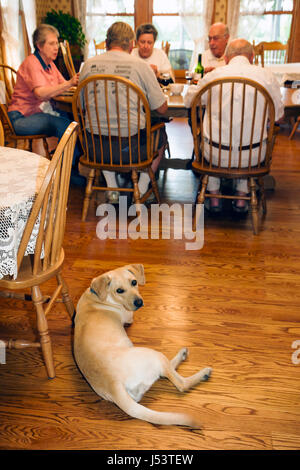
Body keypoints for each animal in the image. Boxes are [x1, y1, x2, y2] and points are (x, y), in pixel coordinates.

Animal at [74, 262, 212, 428]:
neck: (97, 296)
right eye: (119, 290)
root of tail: (113, 385)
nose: (139, 302)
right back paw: (201, 371)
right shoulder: (129, 316)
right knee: (180, 382)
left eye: (134, 282)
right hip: (153, 355)